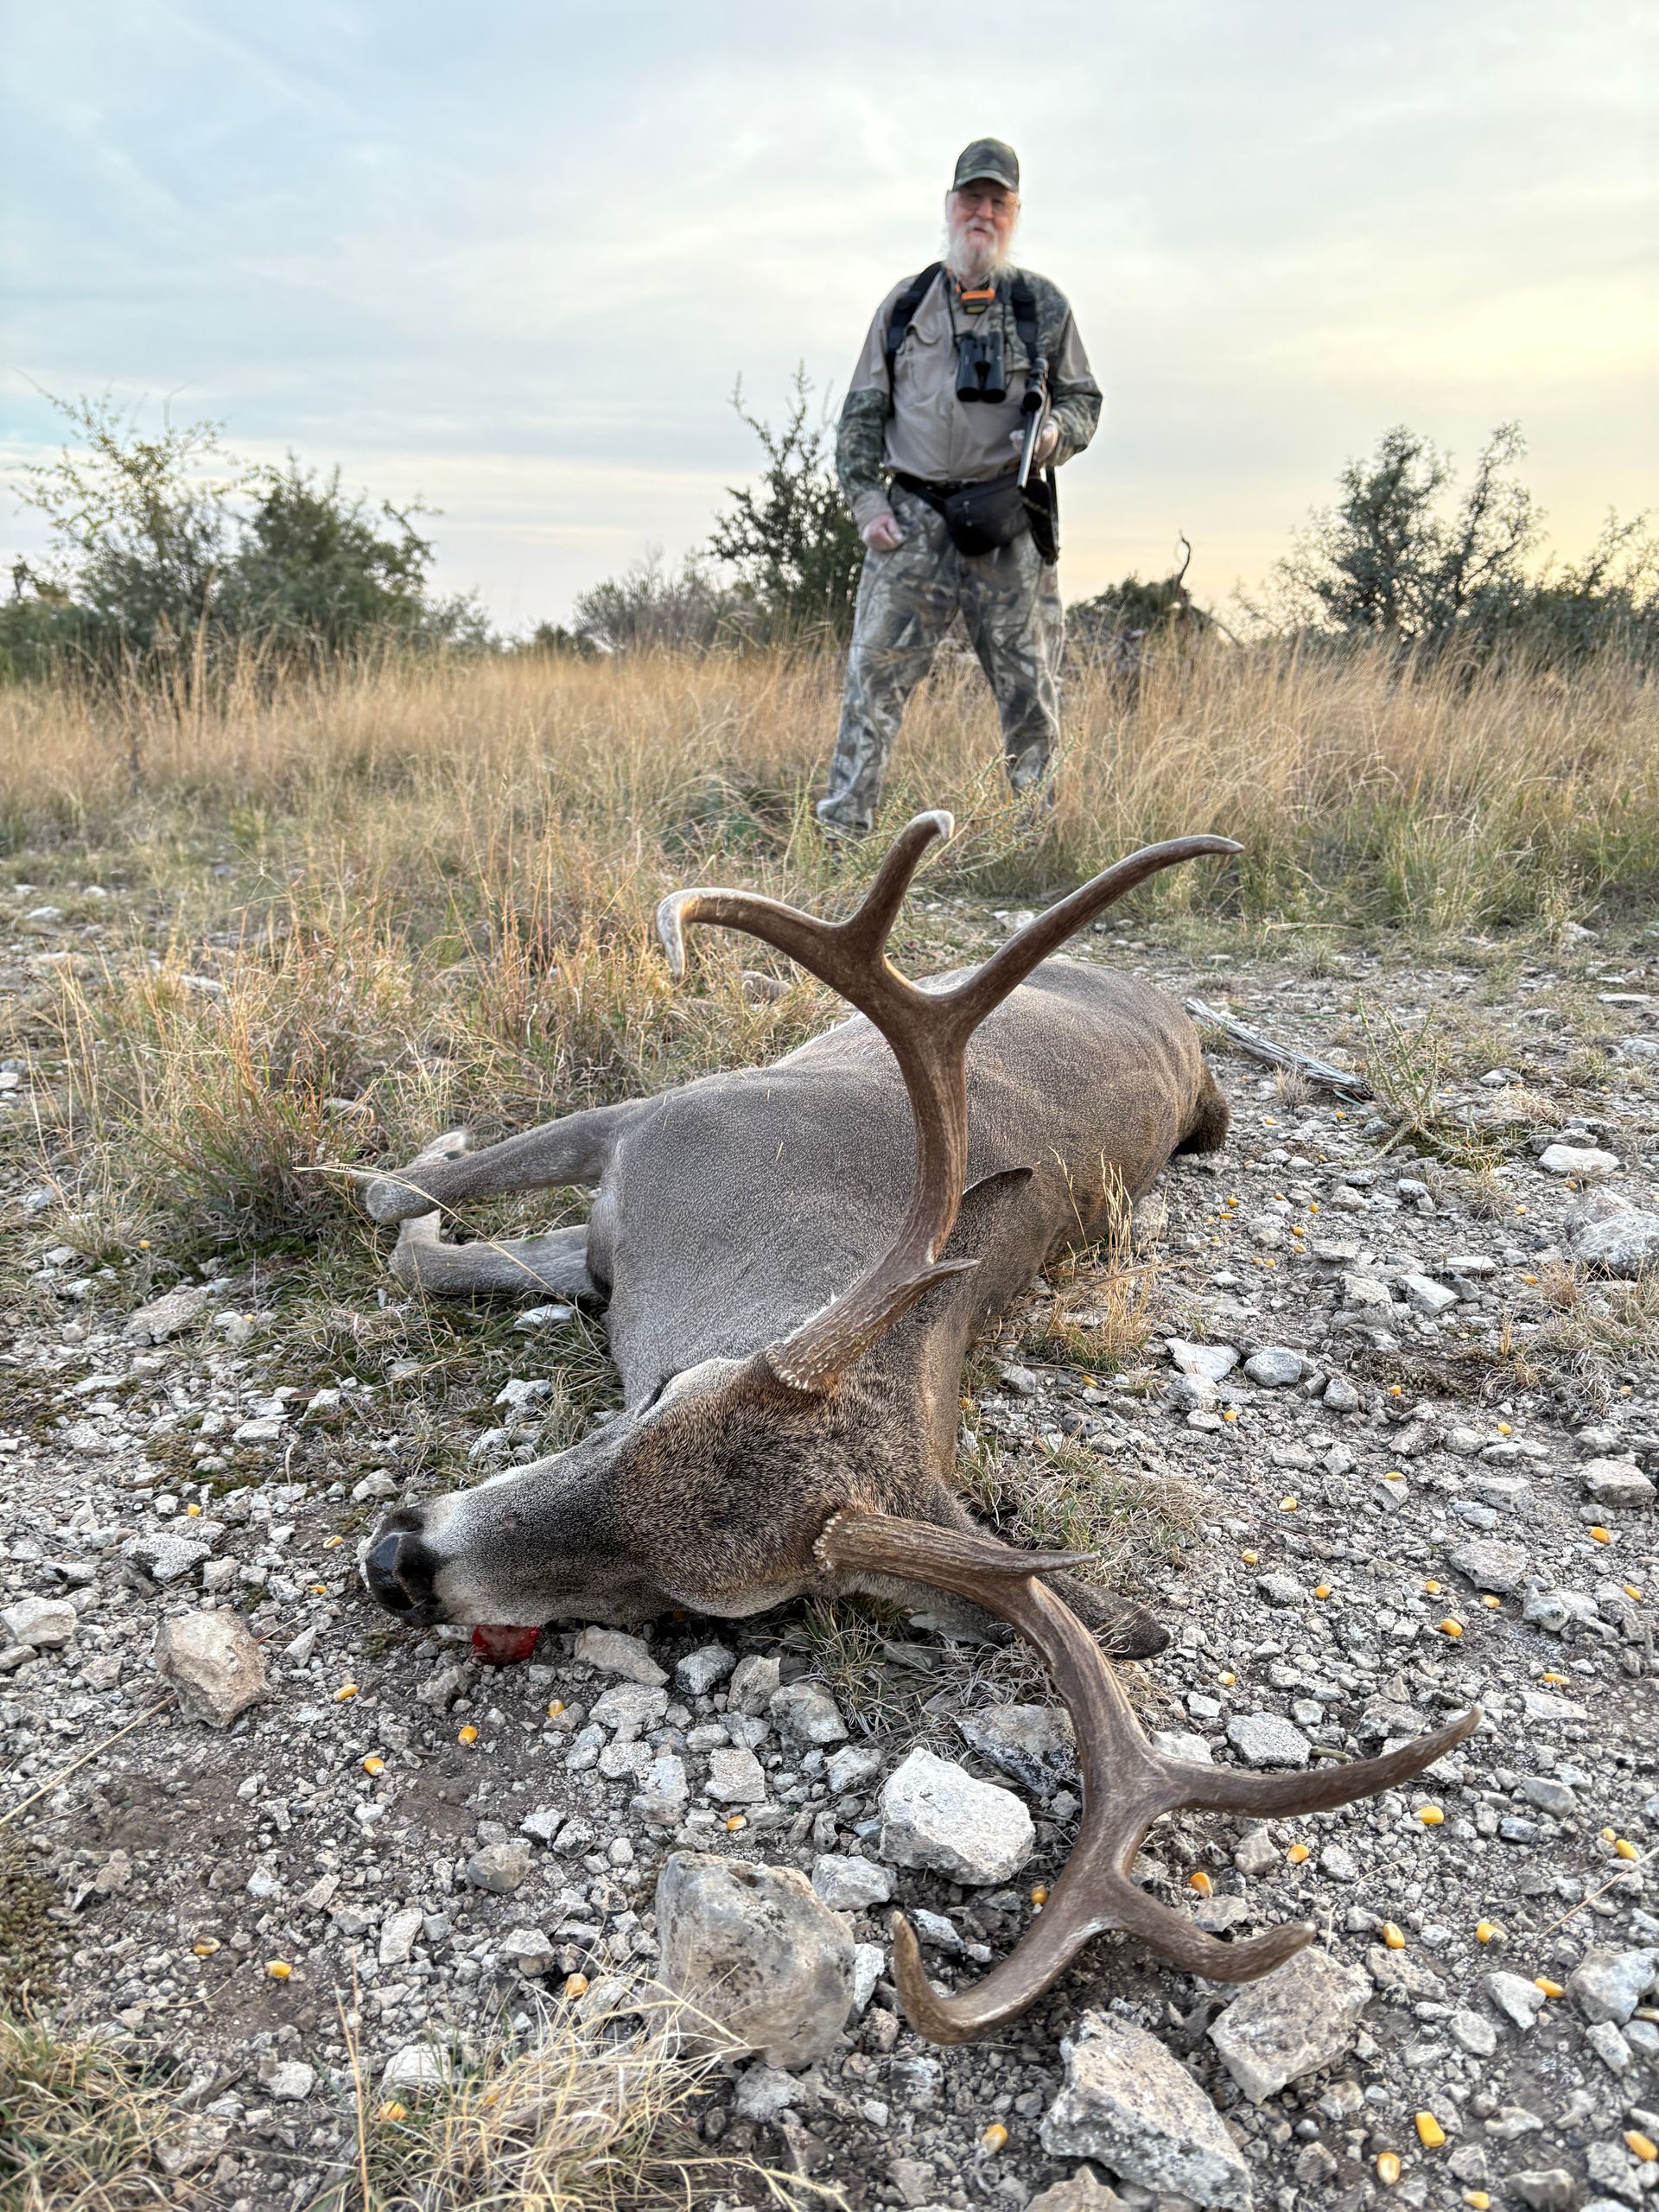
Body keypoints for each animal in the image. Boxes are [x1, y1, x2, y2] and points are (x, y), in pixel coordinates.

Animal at [355, 812, 1479, 2041]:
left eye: (700, 1603)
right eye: (658, 1399)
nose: (396, 1562)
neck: (750, 1264)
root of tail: (1178, 1014)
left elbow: (407, 1234)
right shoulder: (661, 1119)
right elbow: (404, 1215)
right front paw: (420, 1153)